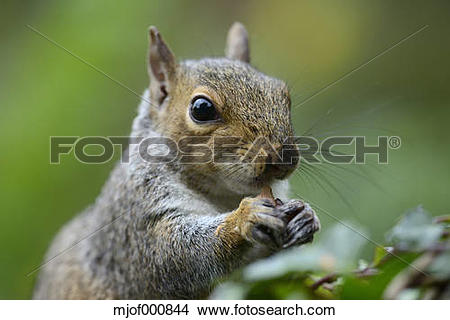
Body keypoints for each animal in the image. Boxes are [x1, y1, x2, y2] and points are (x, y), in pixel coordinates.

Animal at [34, 23, 320, 300]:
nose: (283, 158)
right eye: (201, 109)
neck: (222, 195)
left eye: (283, 95)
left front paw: (305, 217)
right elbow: (170, 255)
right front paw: (244, 218)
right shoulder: (135, 219)